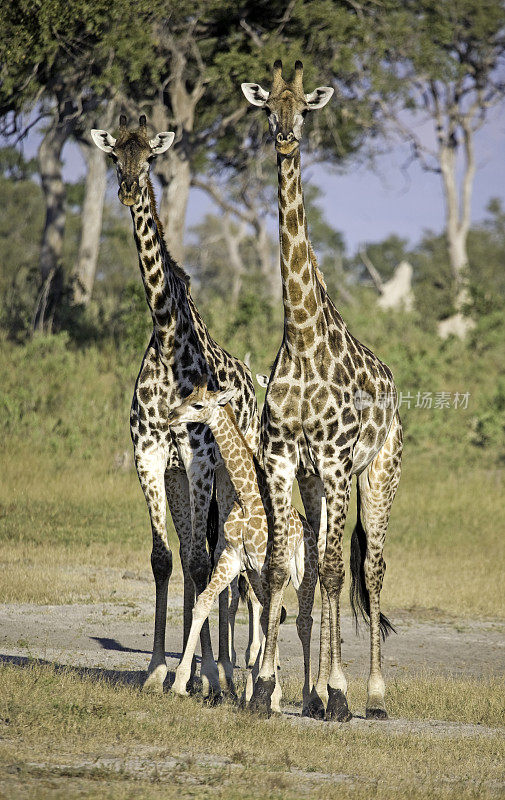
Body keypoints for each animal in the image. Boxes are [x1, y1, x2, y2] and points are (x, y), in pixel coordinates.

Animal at [167, 384, 316, 716]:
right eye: (185, 398)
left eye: (198, 405)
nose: (171, 416)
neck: (247, 498)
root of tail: (309, 530)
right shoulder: (233, 559)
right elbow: (204, 602)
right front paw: (179, 684)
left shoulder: (265, 566)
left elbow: (270, 617)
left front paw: (270, 694)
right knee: (277, 615)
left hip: (304, 574)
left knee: (303, 621)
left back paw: (311, 695)